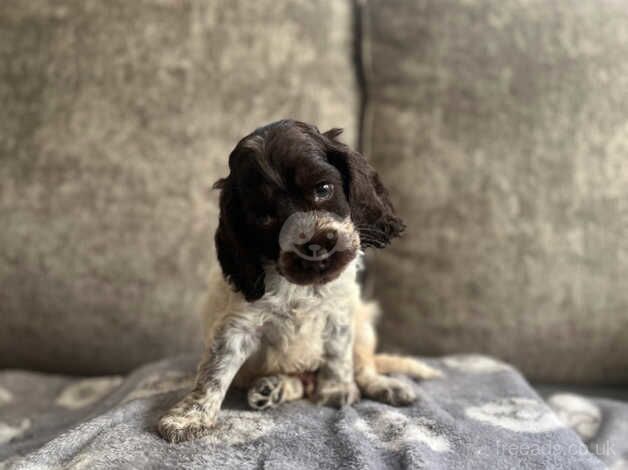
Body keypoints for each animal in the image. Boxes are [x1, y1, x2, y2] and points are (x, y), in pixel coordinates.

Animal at [157, 119, 442, 442]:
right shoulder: (238, 323)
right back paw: (273, 389)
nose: (315, 248)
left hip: (364, 326)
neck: (303, 288)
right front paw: (189, 417)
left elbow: (338, 354)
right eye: (264, 217)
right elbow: (215, 371)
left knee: (363, 365)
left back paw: (384, 386)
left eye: (323, 189)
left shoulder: (340, 312)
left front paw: (336, 390)